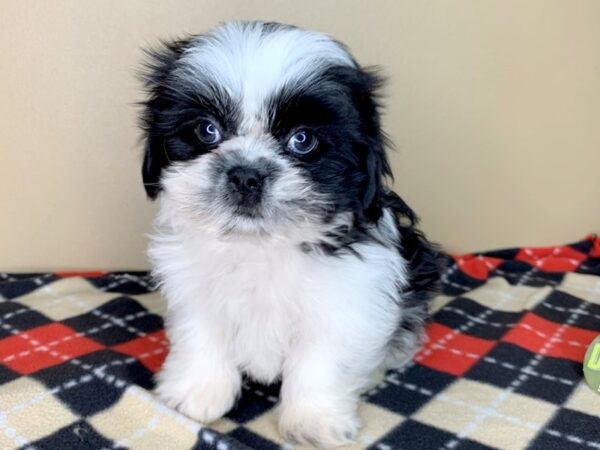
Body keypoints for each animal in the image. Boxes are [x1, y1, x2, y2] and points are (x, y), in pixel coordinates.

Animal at [139, 20, 440, 446]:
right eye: (207, 130)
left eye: (302, 139)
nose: (246, 174)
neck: (260, 245)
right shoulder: (194, 293)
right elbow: (202, 338)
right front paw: (196, 394)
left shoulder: (348, 300)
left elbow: (321, 363)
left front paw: (313, 421)